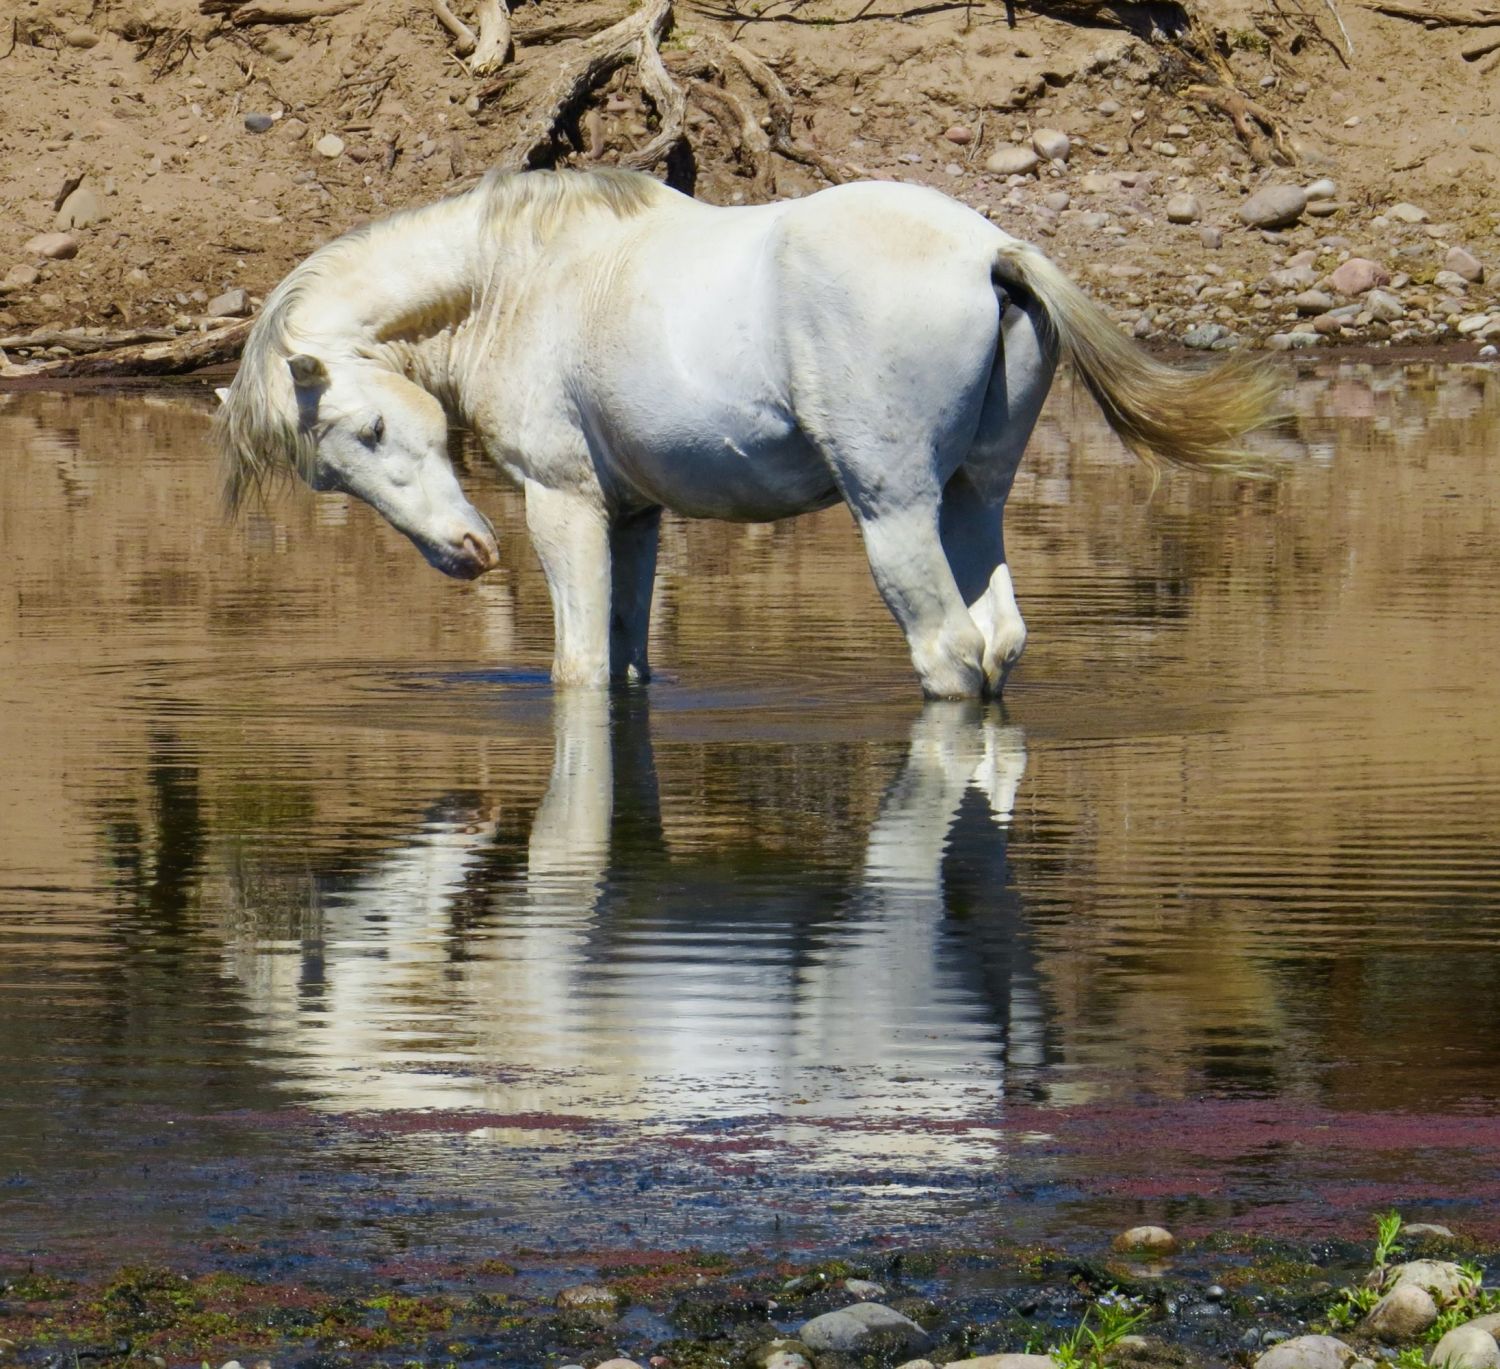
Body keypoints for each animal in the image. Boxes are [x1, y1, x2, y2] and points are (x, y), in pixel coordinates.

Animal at [215, 167, 1279, 699]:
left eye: (370, 428)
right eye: (336, 468)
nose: (467, 553)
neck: (519, 276)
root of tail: (990, 252)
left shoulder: (565, 502)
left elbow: (579, 668)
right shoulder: (635, 516)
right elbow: (629, 662)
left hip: (894, 511)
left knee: (948, 652)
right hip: (975, 499)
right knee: (999, 639)